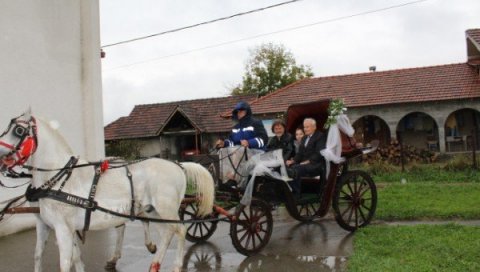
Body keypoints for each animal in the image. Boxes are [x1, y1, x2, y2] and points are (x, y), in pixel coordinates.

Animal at [0, 111, 214, 272]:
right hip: (155, 211)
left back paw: (176, 265)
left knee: (180, 230)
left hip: (166, 210)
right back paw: (154, 264)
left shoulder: (62, 228)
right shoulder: (46, 225)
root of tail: (178, 165)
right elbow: (42, 256)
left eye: (18, 130)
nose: (0, 158)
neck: (59, 177)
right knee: (167, 233)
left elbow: (66, 263)